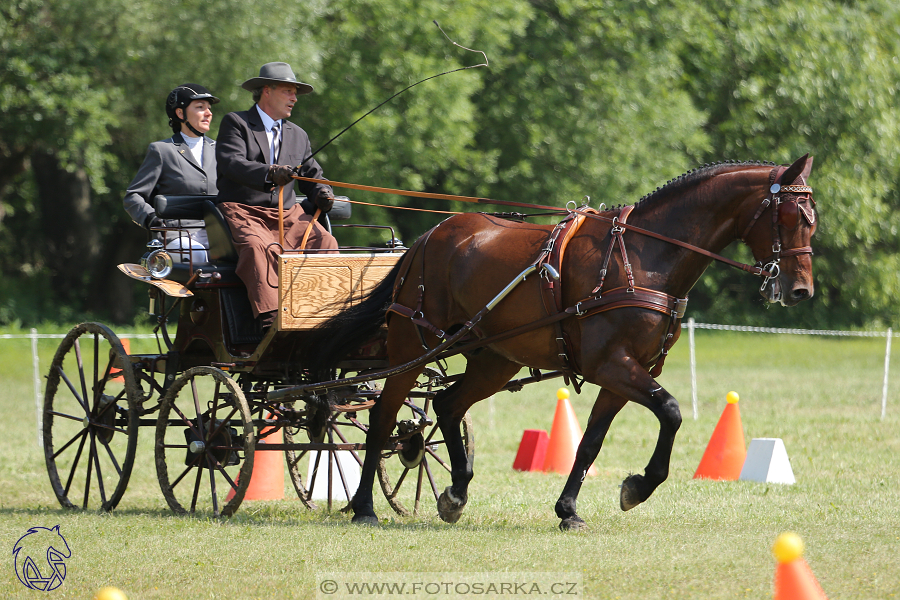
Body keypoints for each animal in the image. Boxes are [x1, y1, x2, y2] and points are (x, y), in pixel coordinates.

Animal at [310, 155, 816, 528]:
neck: (646, 257)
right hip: (413, 347)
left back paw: (456, 492)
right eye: (792, 217)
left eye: (813, 221)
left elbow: (591, 442)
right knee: (383, 416)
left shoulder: (625, 373)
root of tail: (428, 237)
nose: (800, 291)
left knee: (448, 405)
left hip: (496, 358)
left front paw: (570, 510)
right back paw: (364, 507)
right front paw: (637, 487)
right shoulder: (613, 365)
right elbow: (671, 411)